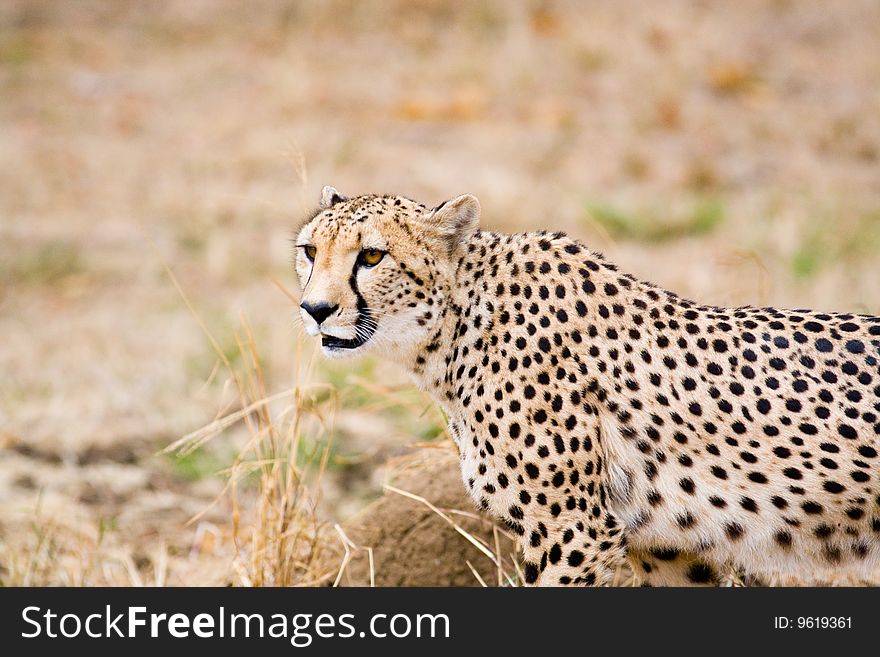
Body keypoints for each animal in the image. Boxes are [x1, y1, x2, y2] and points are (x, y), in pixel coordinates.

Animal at [296, 187, 880, 588]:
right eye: (308, 251)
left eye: (372, 256)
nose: (315, 309)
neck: (458, 326)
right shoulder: (670, 547)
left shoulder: (572, 532)